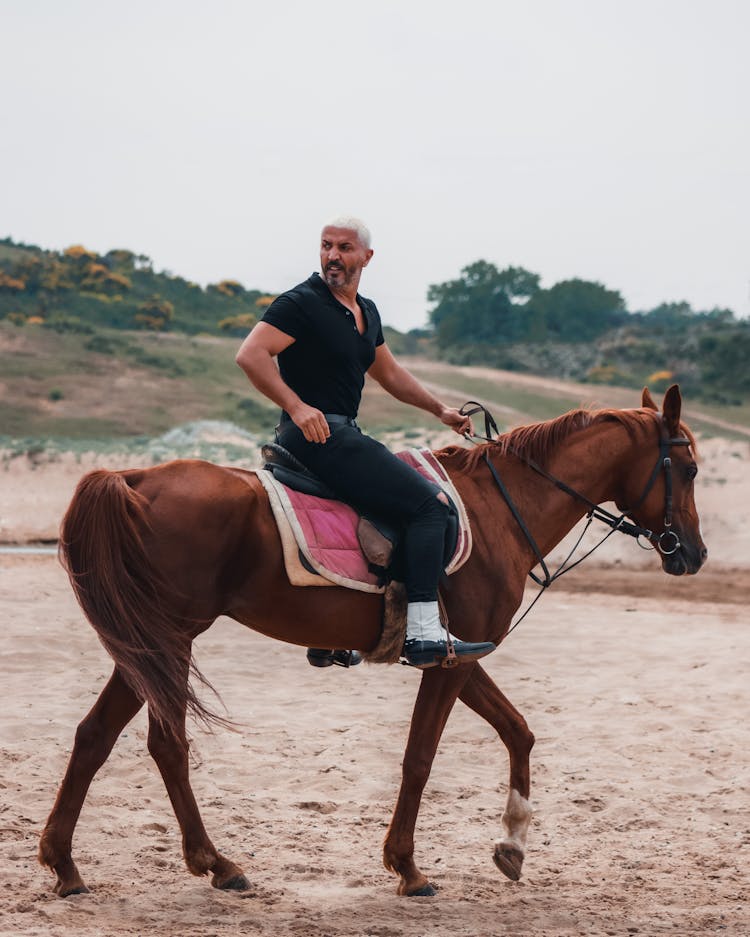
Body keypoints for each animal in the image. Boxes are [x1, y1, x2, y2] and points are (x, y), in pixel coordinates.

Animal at [38, 384, 708, 896]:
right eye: (691, 470)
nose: (695, 555)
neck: (500, 509)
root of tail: (133, 478)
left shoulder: (462, 653)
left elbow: (518, 731)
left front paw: (513, 843)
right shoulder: (448, 663)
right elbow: (420, 758)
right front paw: (407, 867)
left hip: (147, 644)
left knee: (96, 736)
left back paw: (65, 864)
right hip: (171, 639)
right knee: (166, 745)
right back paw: (216, 862)